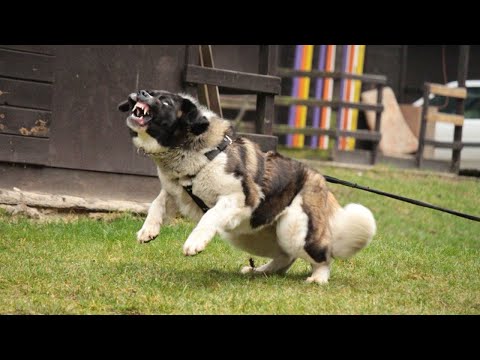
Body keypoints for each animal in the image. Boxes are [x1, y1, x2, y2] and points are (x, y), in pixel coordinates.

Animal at [119, 90, 376, 284]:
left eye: (165, 101)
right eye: (151, 92)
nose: (141, 92)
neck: (188, 149)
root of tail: (319, 179)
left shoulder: (239, 197)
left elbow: (210, 216)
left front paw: (194, 243)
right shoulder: (176, 191)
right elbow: (157, 202)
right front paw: (148, 230)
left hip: (293, 228)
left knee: (323, 255)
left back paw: (318, 278)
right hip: (251, 234)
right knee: (286, 258)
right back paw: (260, 271)